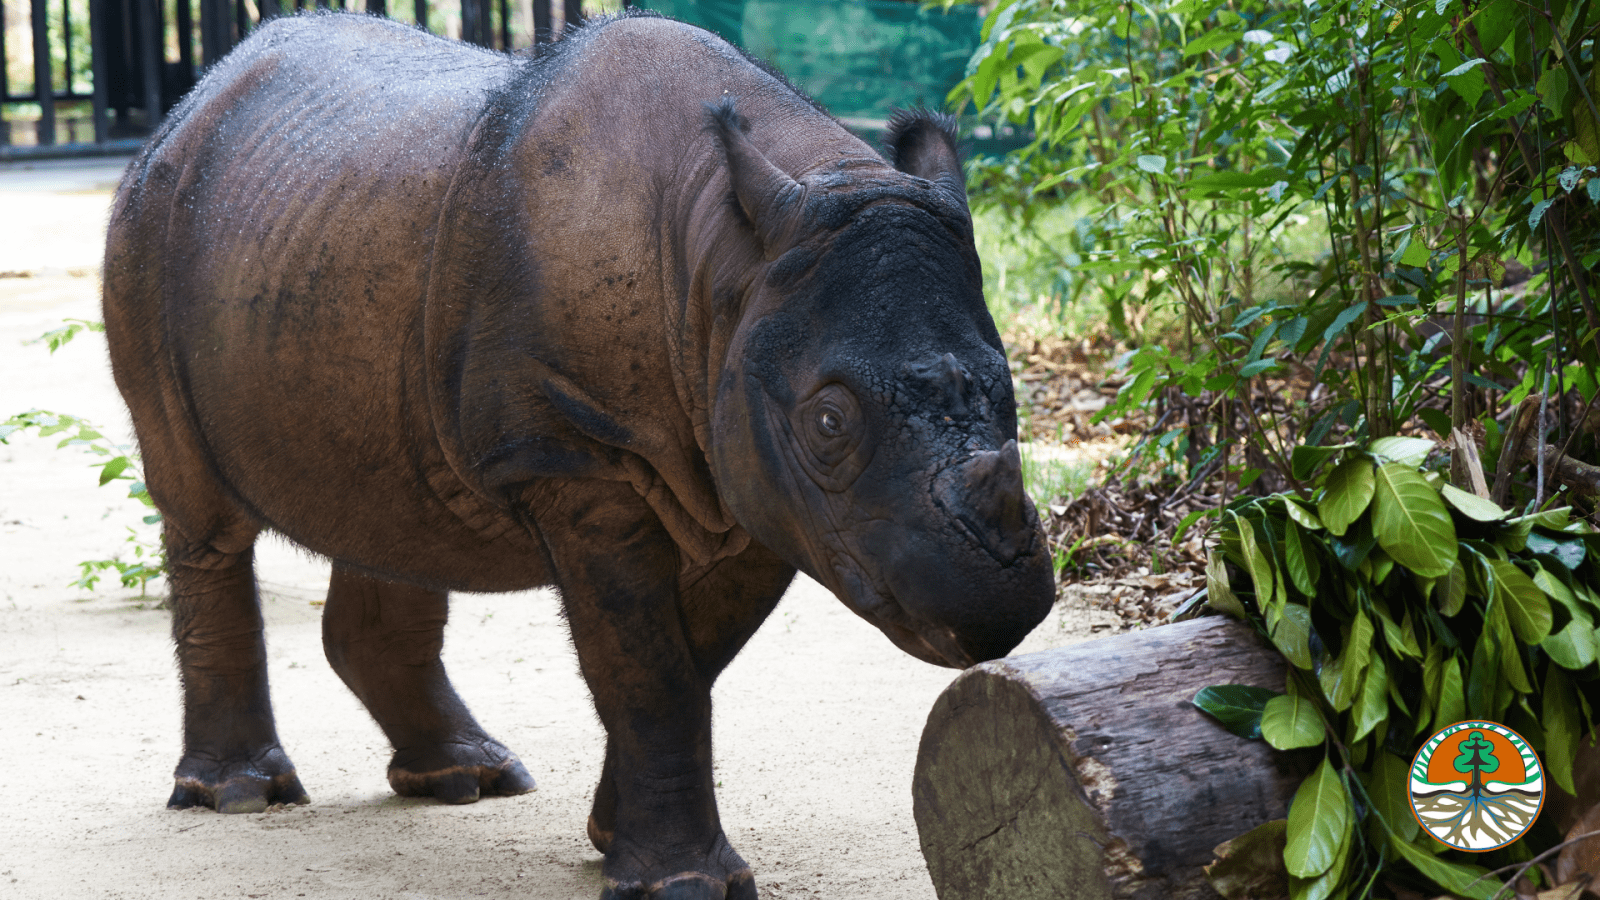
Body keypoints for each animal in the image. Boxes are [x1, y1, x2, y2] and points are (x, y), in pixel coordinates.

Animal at [100, 8, 1049, 896]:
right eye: (828, 423)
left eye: (1011, 390)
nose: (996, 606)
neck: (728, 264)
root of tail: (191, 105)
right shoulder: (578, 456)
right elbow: (649, 668)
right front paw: (682, 882)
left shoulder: (753, 479)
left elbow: (685, 662)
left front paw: (610, 839)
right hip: (150, 222)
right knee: (202, 513)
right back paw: (239, 796)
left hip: (321, 243)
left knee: (396, 509)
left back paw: (467, 778)